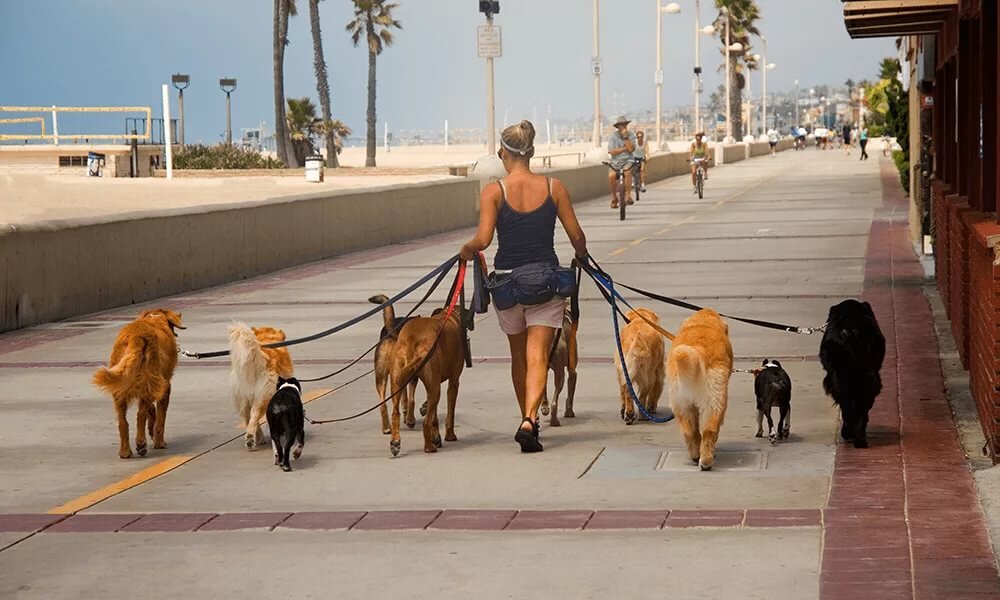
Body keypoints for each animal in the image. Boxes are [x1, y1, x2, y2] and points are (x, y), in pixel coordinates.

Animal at [93, 310, 186, 460]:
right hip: (151, 380)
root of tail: (136, 337)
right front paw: (159, 442)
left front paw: (152, 430)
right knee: (140, 415)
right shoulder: (164, 387)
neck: (155, 319)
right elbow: (160, 418)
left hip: (121, 386)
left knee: (123, 422)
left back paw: (125, 451)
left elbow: (152, 411)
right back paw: (141, 443)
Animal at [390, 308, 468, 458]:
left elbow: (434, 418)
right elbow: (449, 413)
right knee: (426, 422)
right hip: (435, 389)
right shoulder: (453, 382)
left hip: (398, 380)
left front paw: (436, 437)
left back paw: (395, 442)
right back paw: (429, 448)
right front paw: (449, 436)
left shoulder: (434, 382)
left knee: (396, 413)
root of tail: (412, 337)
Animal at [668, 312, 732, 472]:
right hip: (715, 401)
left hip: (681, 404)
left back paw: (696, 455)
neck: (702, 322)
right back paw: (706, 460)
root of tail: (698, 349)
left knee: (689, 431)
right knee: (709, 430)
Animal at [816, 298, 888, 448]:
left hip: (842, 380)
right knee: (858, 410)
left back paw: (850, 434)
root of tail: (850, 328)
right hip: (865, 379)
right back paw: (858, 438)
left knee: (849, 408)